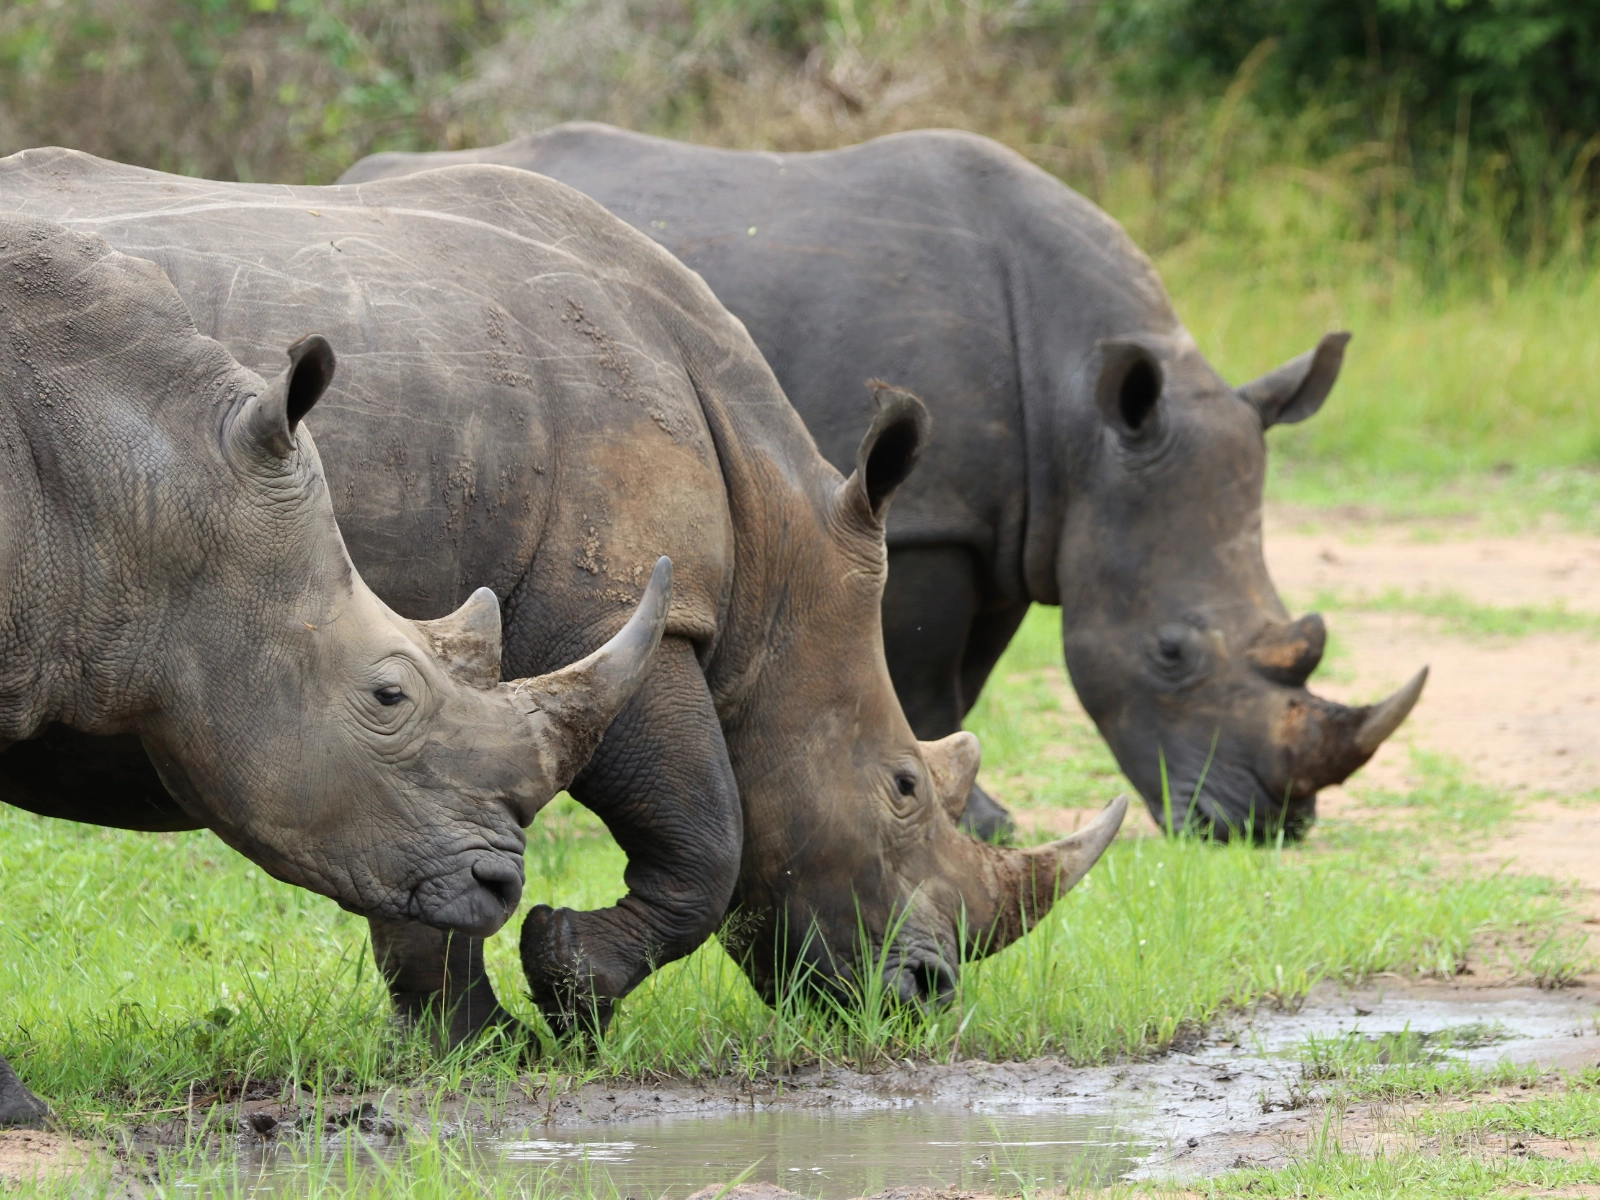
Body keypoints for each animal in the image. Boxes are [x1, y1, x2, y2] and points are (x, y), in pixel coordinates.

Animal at [343, 124, 1428, 840]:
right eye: (1170, 653)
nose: (1268, 825)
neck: (1085, 425)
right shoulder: (928, 517)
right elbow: (925, 672)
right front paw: (982, 822)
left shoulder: (1009, 521)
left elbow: (966, 677)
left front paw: (978, 812)